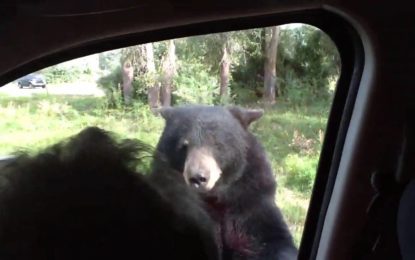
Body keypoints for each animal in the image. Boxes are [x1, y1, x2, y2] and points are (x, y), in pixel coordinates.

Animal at [153, 105, 300, 260]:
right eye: (184, 145)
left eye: (217, 143)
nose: (198, 178)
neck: (215, 197)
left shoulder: (250, 199)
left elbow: (268, 239)